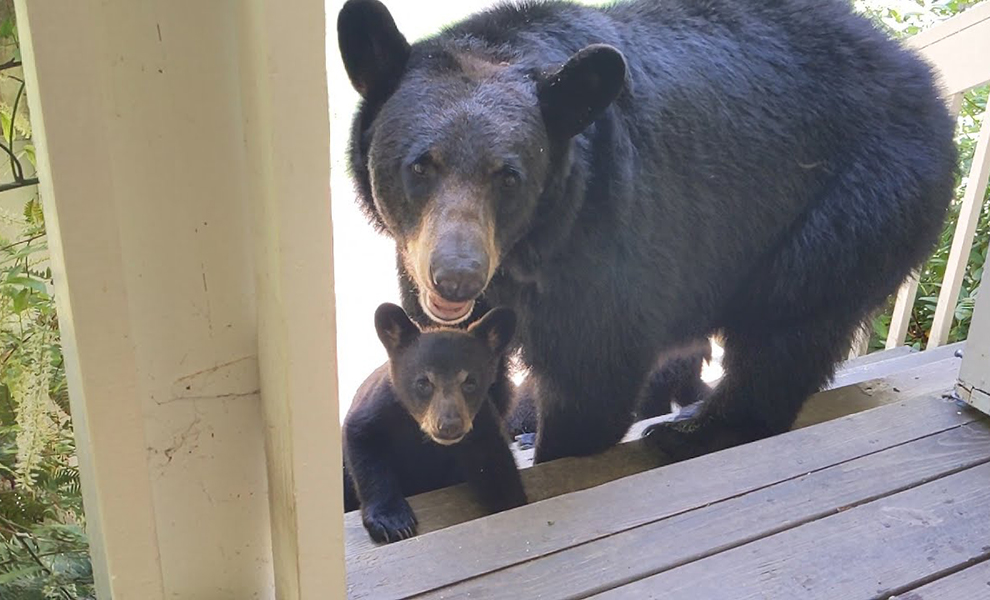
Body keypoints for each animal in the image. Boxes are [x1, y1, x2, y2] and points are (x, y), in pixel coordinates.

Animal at [338, 0, 956, 464]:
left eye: (509, 177)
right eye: (421, 166)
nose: (457, 278)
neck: (526, 248)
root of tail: (923, 80)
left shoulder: (604, 231)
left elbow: (594, 370)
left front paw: (555, 447)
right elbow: (452, 355)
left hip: (858, 201)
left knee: (787, 326)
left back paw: (697, 430)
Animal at [342, 302, 528, 540]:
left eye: (470, 382)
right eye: (423, 382)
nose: (449, 425)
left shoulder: (481, 424)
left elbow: (494, 461)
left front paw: (511, 500)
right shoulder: (378, 410)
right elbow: (364, 446)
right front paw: (392, 522)